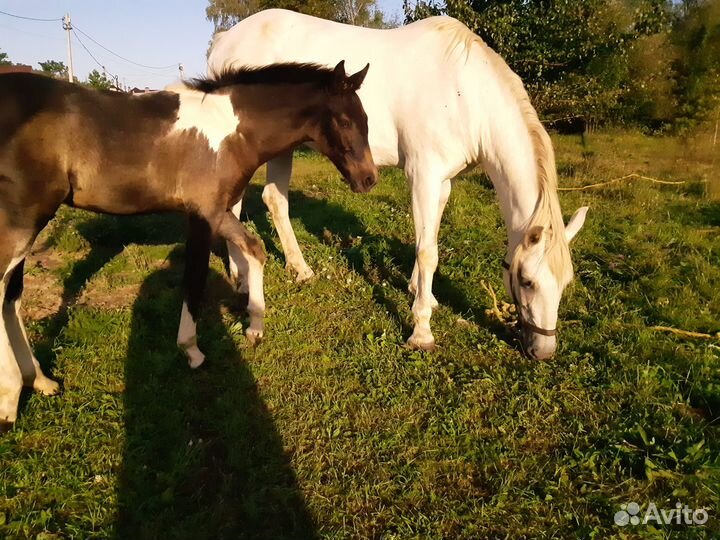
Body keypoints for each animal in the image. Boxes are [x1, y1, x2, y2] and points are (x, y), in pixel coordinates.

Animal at [0, 61, 376, 428]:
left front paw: (255, 326)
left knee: (12, 298)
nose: (369, 179)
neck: (231, 131)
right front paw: (192, 350)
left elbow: (254, 250)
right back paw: (11, 398)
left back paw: (40, 380)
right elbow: (194, 280)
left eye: (366, 119)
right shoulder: (201, 214)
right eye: (344, 120)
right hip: (23, 219)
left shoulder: (219, 210)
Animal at [208, 9, 589, 359]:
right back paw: (241, 276)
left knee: (274, 200)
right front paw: (421, 331)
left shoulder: (442, 182)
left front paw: (423, 294)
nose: (543, 351)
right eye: (527, 281)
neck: (464, 92)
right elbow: (428, 251)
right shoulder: (423, 174)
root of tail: (224, 41)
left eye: (565, 283)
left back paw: (297, 269)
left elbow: (428, 239)